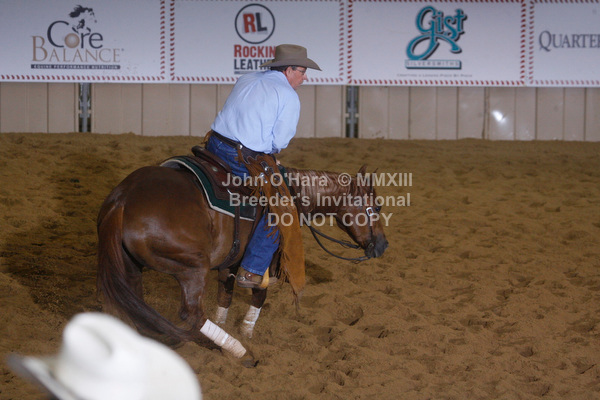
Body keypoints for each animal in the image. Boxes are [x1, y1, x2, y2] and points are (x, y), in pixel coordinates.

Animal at [96, 160, 388, 366]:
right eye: (376, 207)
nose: (383, 245)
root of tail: (123, 199)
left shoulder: (231, 263)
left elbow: (224, 296)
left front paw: (225, 324)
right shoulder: (263, 263)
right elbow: (258, 295)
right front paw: (247, 333)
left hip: (131, 266)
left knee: (138, 306)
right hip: (192, 267)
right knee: (191, 314)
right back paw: (239, 351)